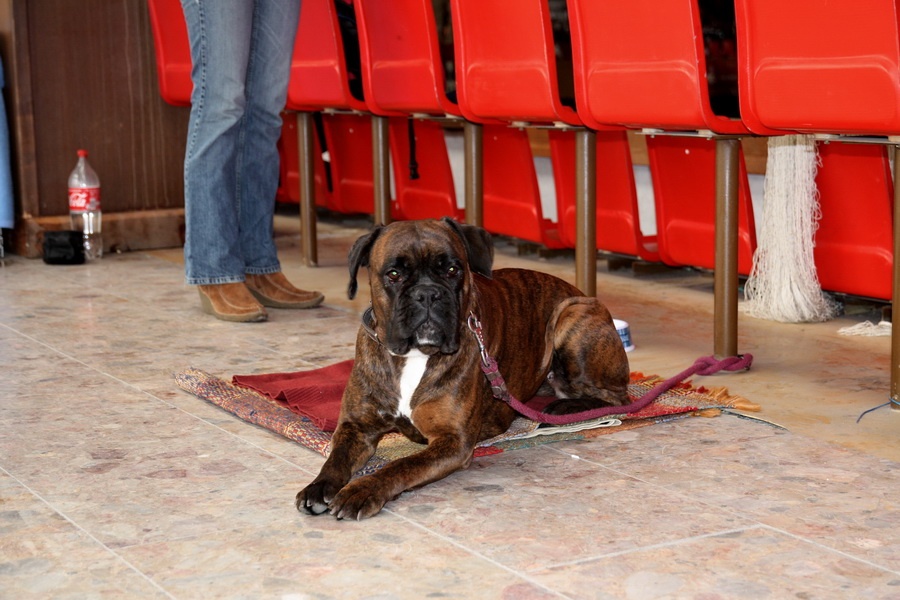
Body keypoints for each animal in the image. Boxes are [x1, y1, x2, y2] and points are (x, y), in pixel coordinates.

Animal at [294, 218, 624, 516]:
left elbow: (402, 465)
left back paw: (563, 409)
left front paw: (362, 490)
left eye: (452, 270)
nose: (427, 293)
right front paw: (318, 487)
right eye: (394, 274)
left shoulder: (452, 440)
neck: (415, 356)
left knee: (617, 398)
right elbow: (335, 458)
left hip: (571, 316)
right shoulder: (356, 427)